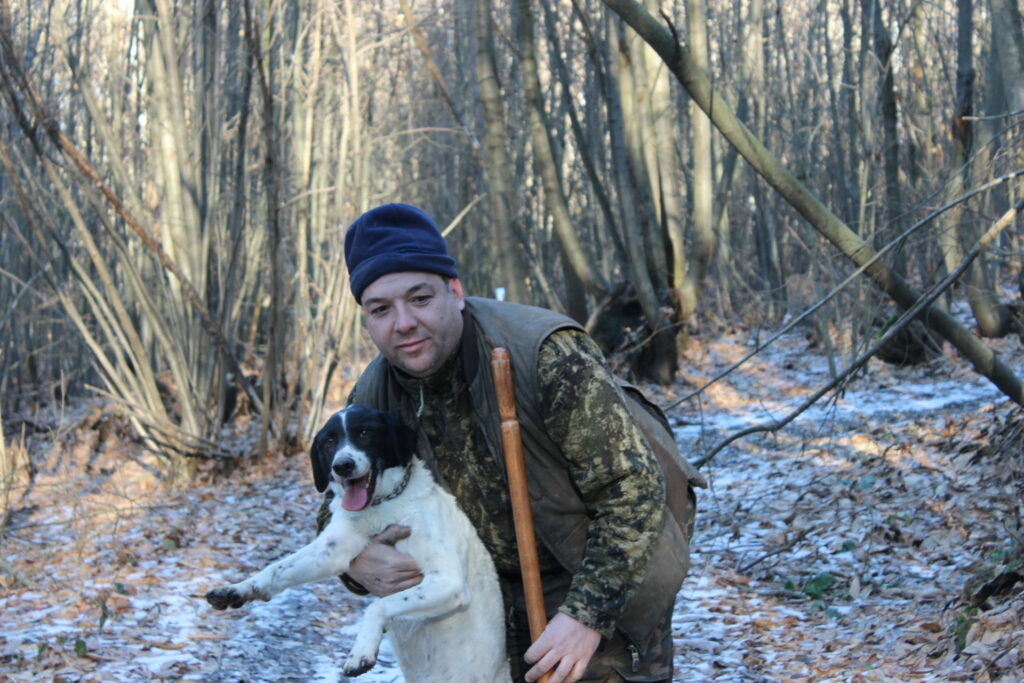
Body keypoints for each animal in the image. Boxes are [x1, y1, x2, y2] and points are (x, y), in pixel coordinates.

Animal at [204, 405, 512, 683]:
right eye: (329, 441)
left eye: (364, 433)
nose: (342, 466)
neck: (382, 507)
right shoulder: (333, 550)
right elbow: (277, 568)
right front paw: (238, 589)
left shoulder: (449, 582)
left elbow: (378, 606)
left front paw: (360, 652)